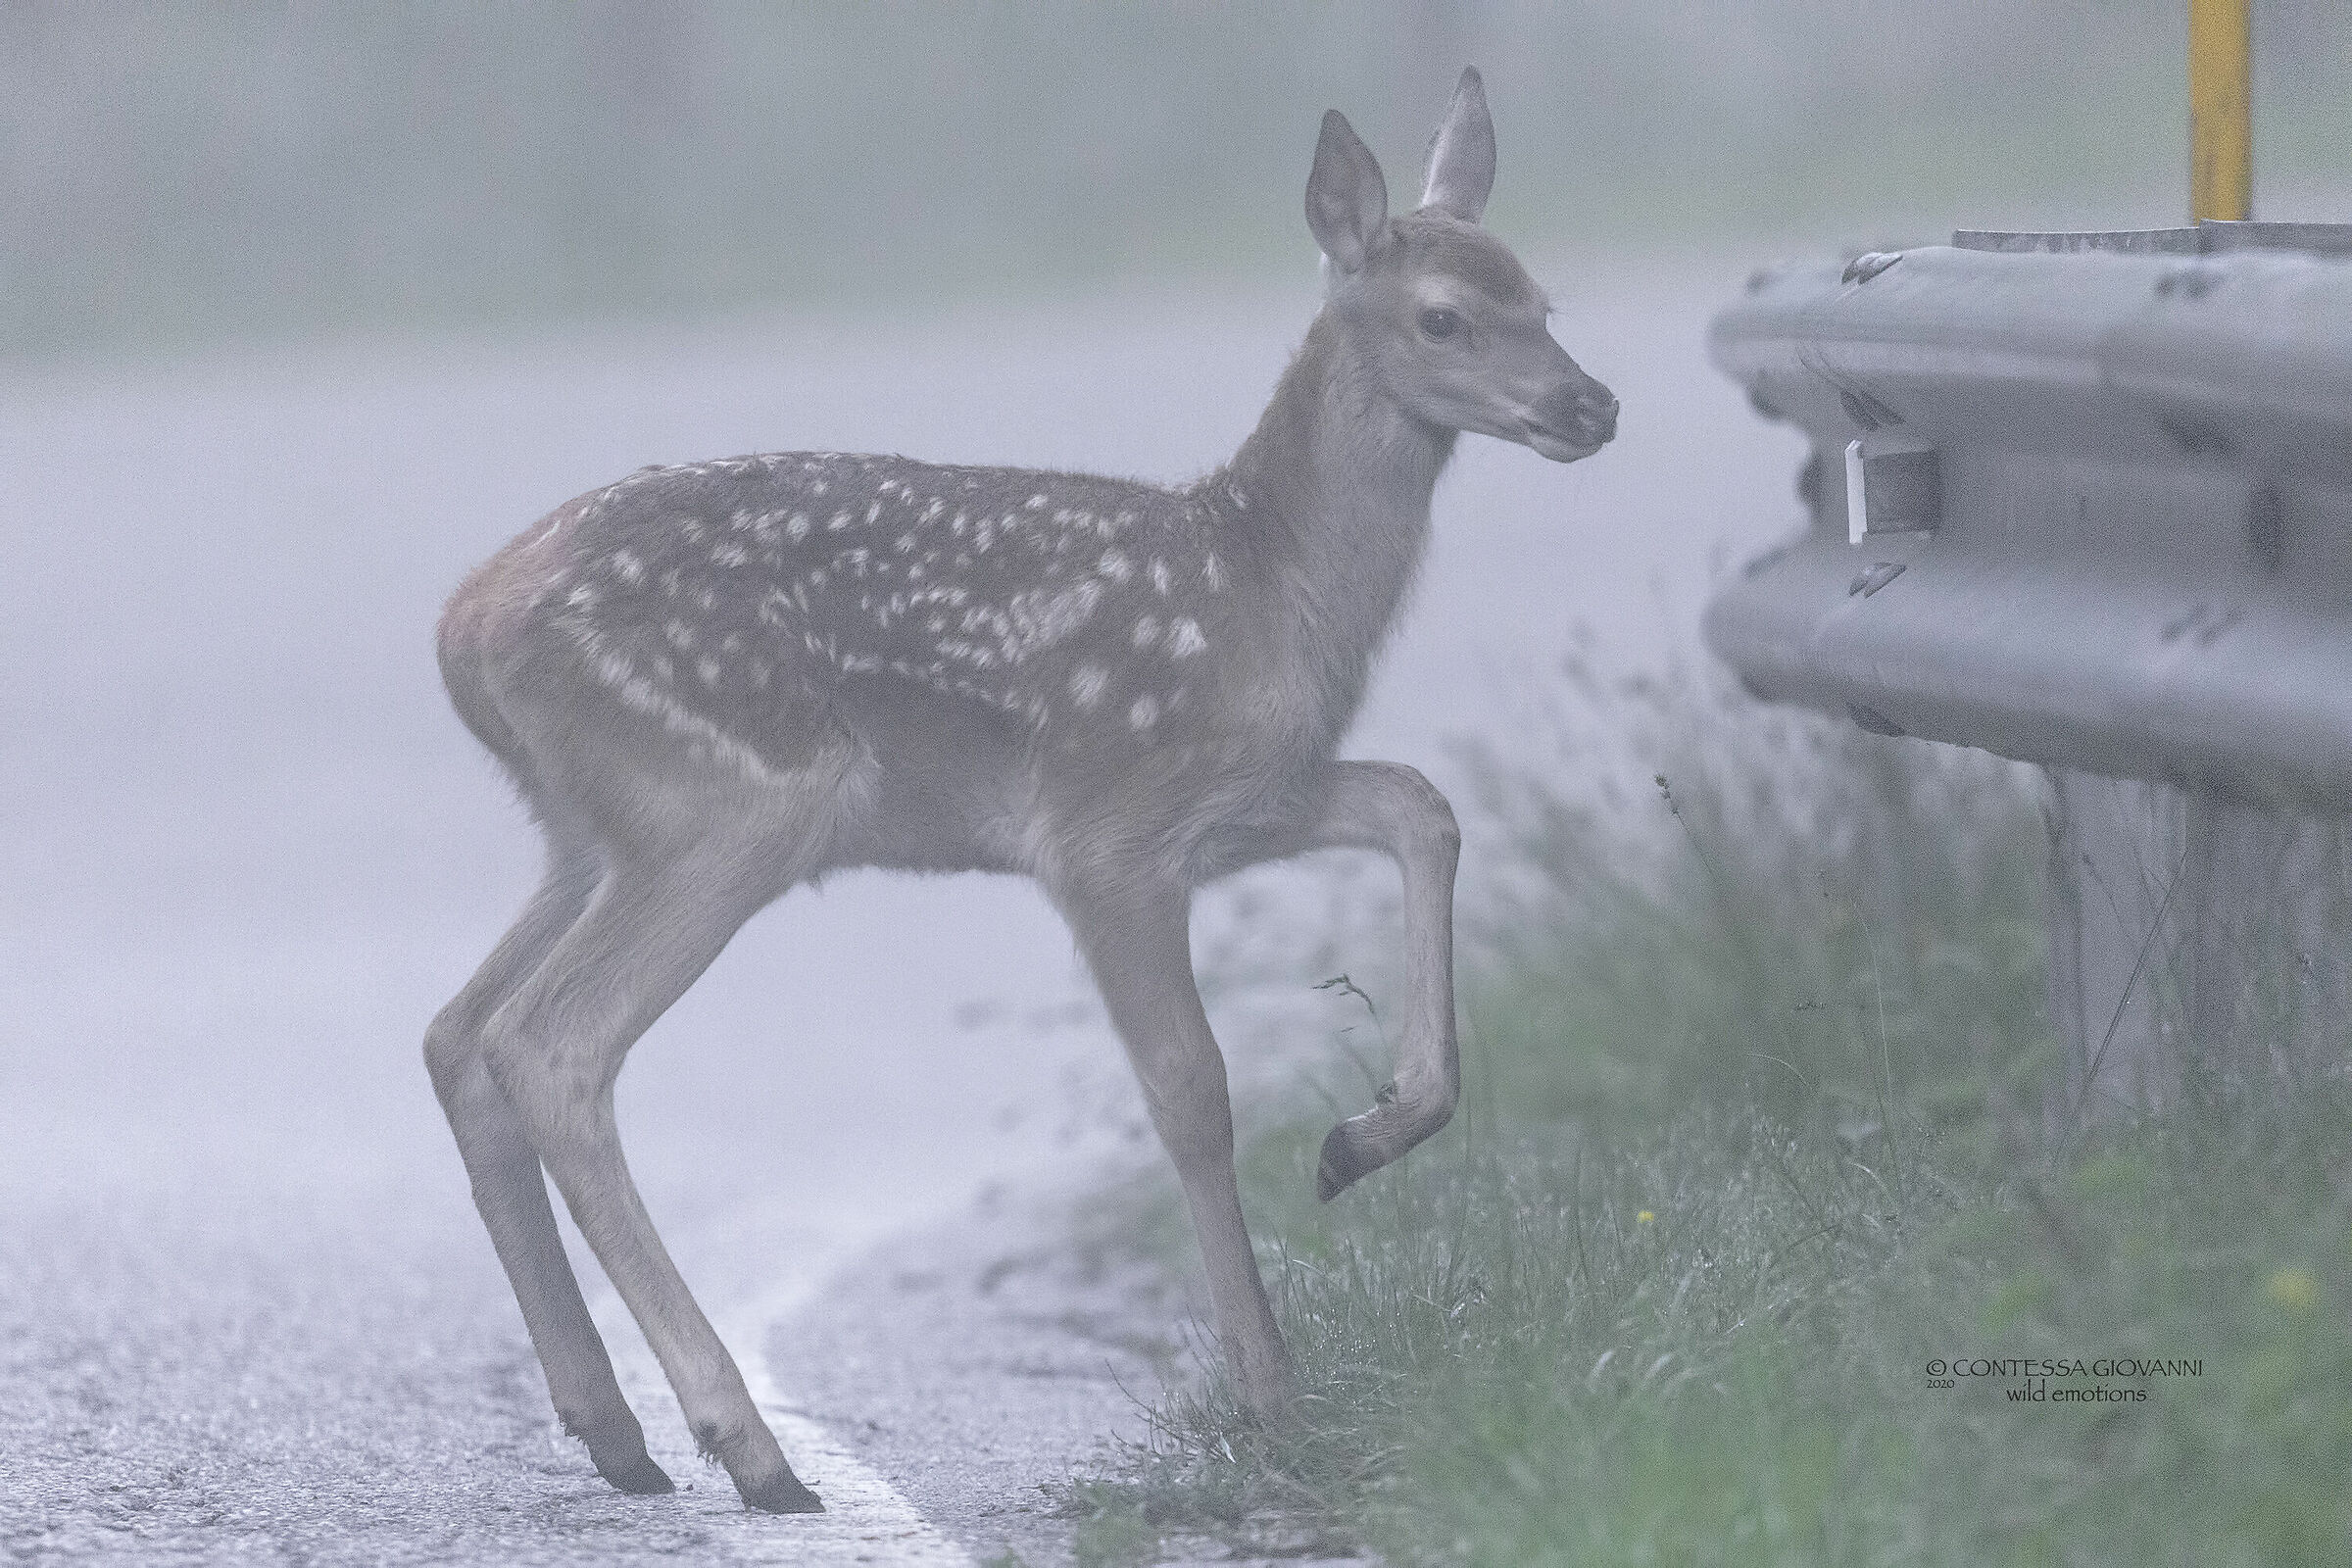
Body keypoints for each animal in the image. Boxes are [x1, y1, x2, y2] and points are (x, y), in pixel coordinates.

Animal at [424, 67, 1615, 1513]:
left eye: (1543, 299)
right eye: (1446, 314)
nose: (1594, 408)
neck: (1269, 589)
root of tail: (463, 624)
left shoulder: (1248, 798)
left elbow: (1420, 802)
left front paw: (1364, 1135)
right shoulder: (1104, 826)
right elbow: (1188, 1088)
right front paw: (1270, 1390)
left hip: (589, 833)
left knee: (458, 1034)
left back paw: (615, 1430)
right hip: (726, 803)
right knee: (551, 1045)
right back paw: (746, 1444)